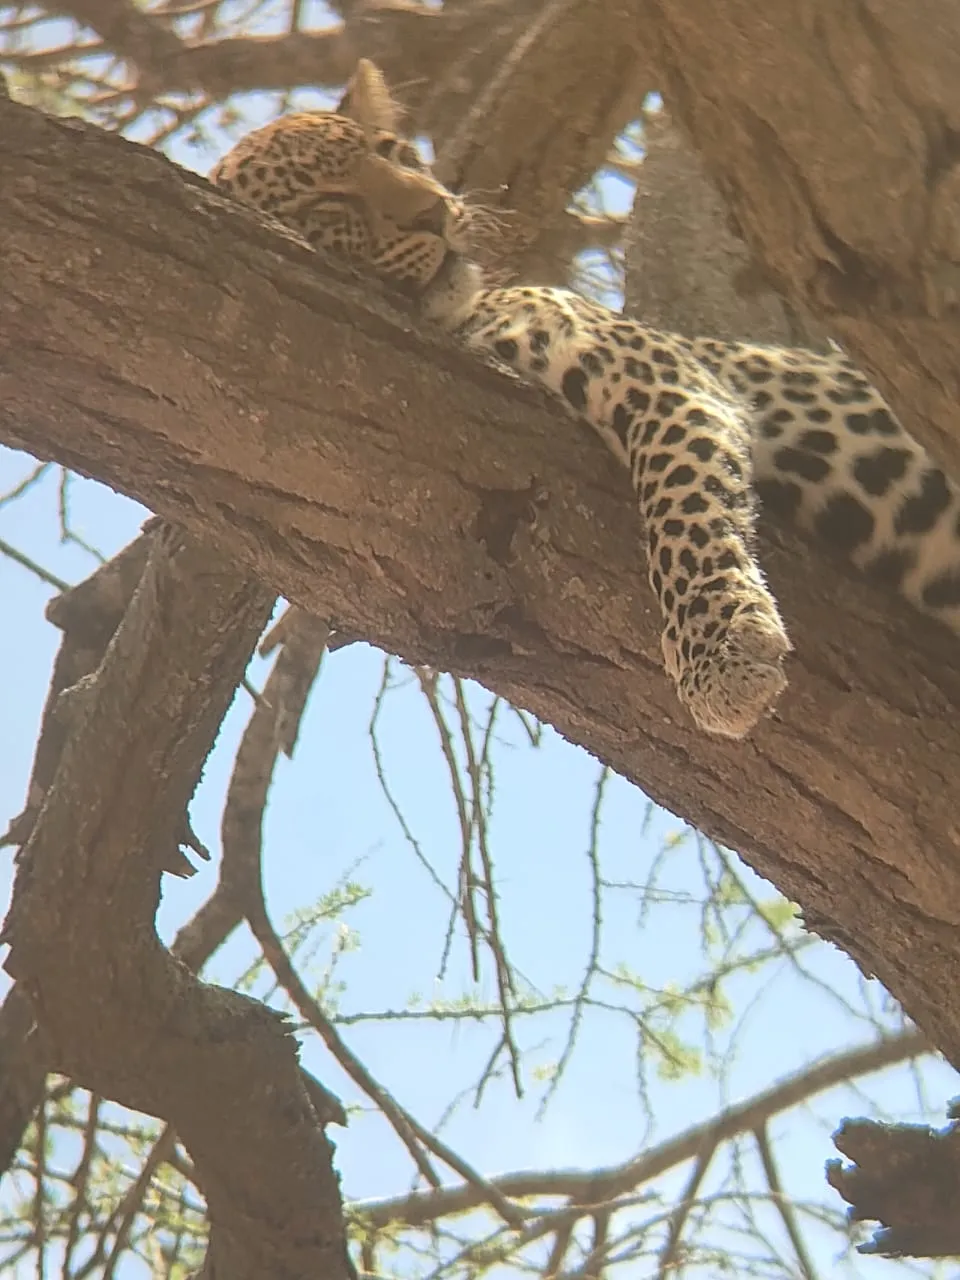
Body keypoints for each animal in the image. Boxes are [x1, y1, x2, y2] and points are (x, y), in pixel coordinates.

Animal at [212, 59, 960, 740]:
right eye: (330, 208)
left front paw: (721, 652)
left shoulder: (653, 366)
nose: (434, 210)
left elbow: (680, 500)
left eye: (394, 153)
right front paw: (724, 653)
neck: (471, 314)